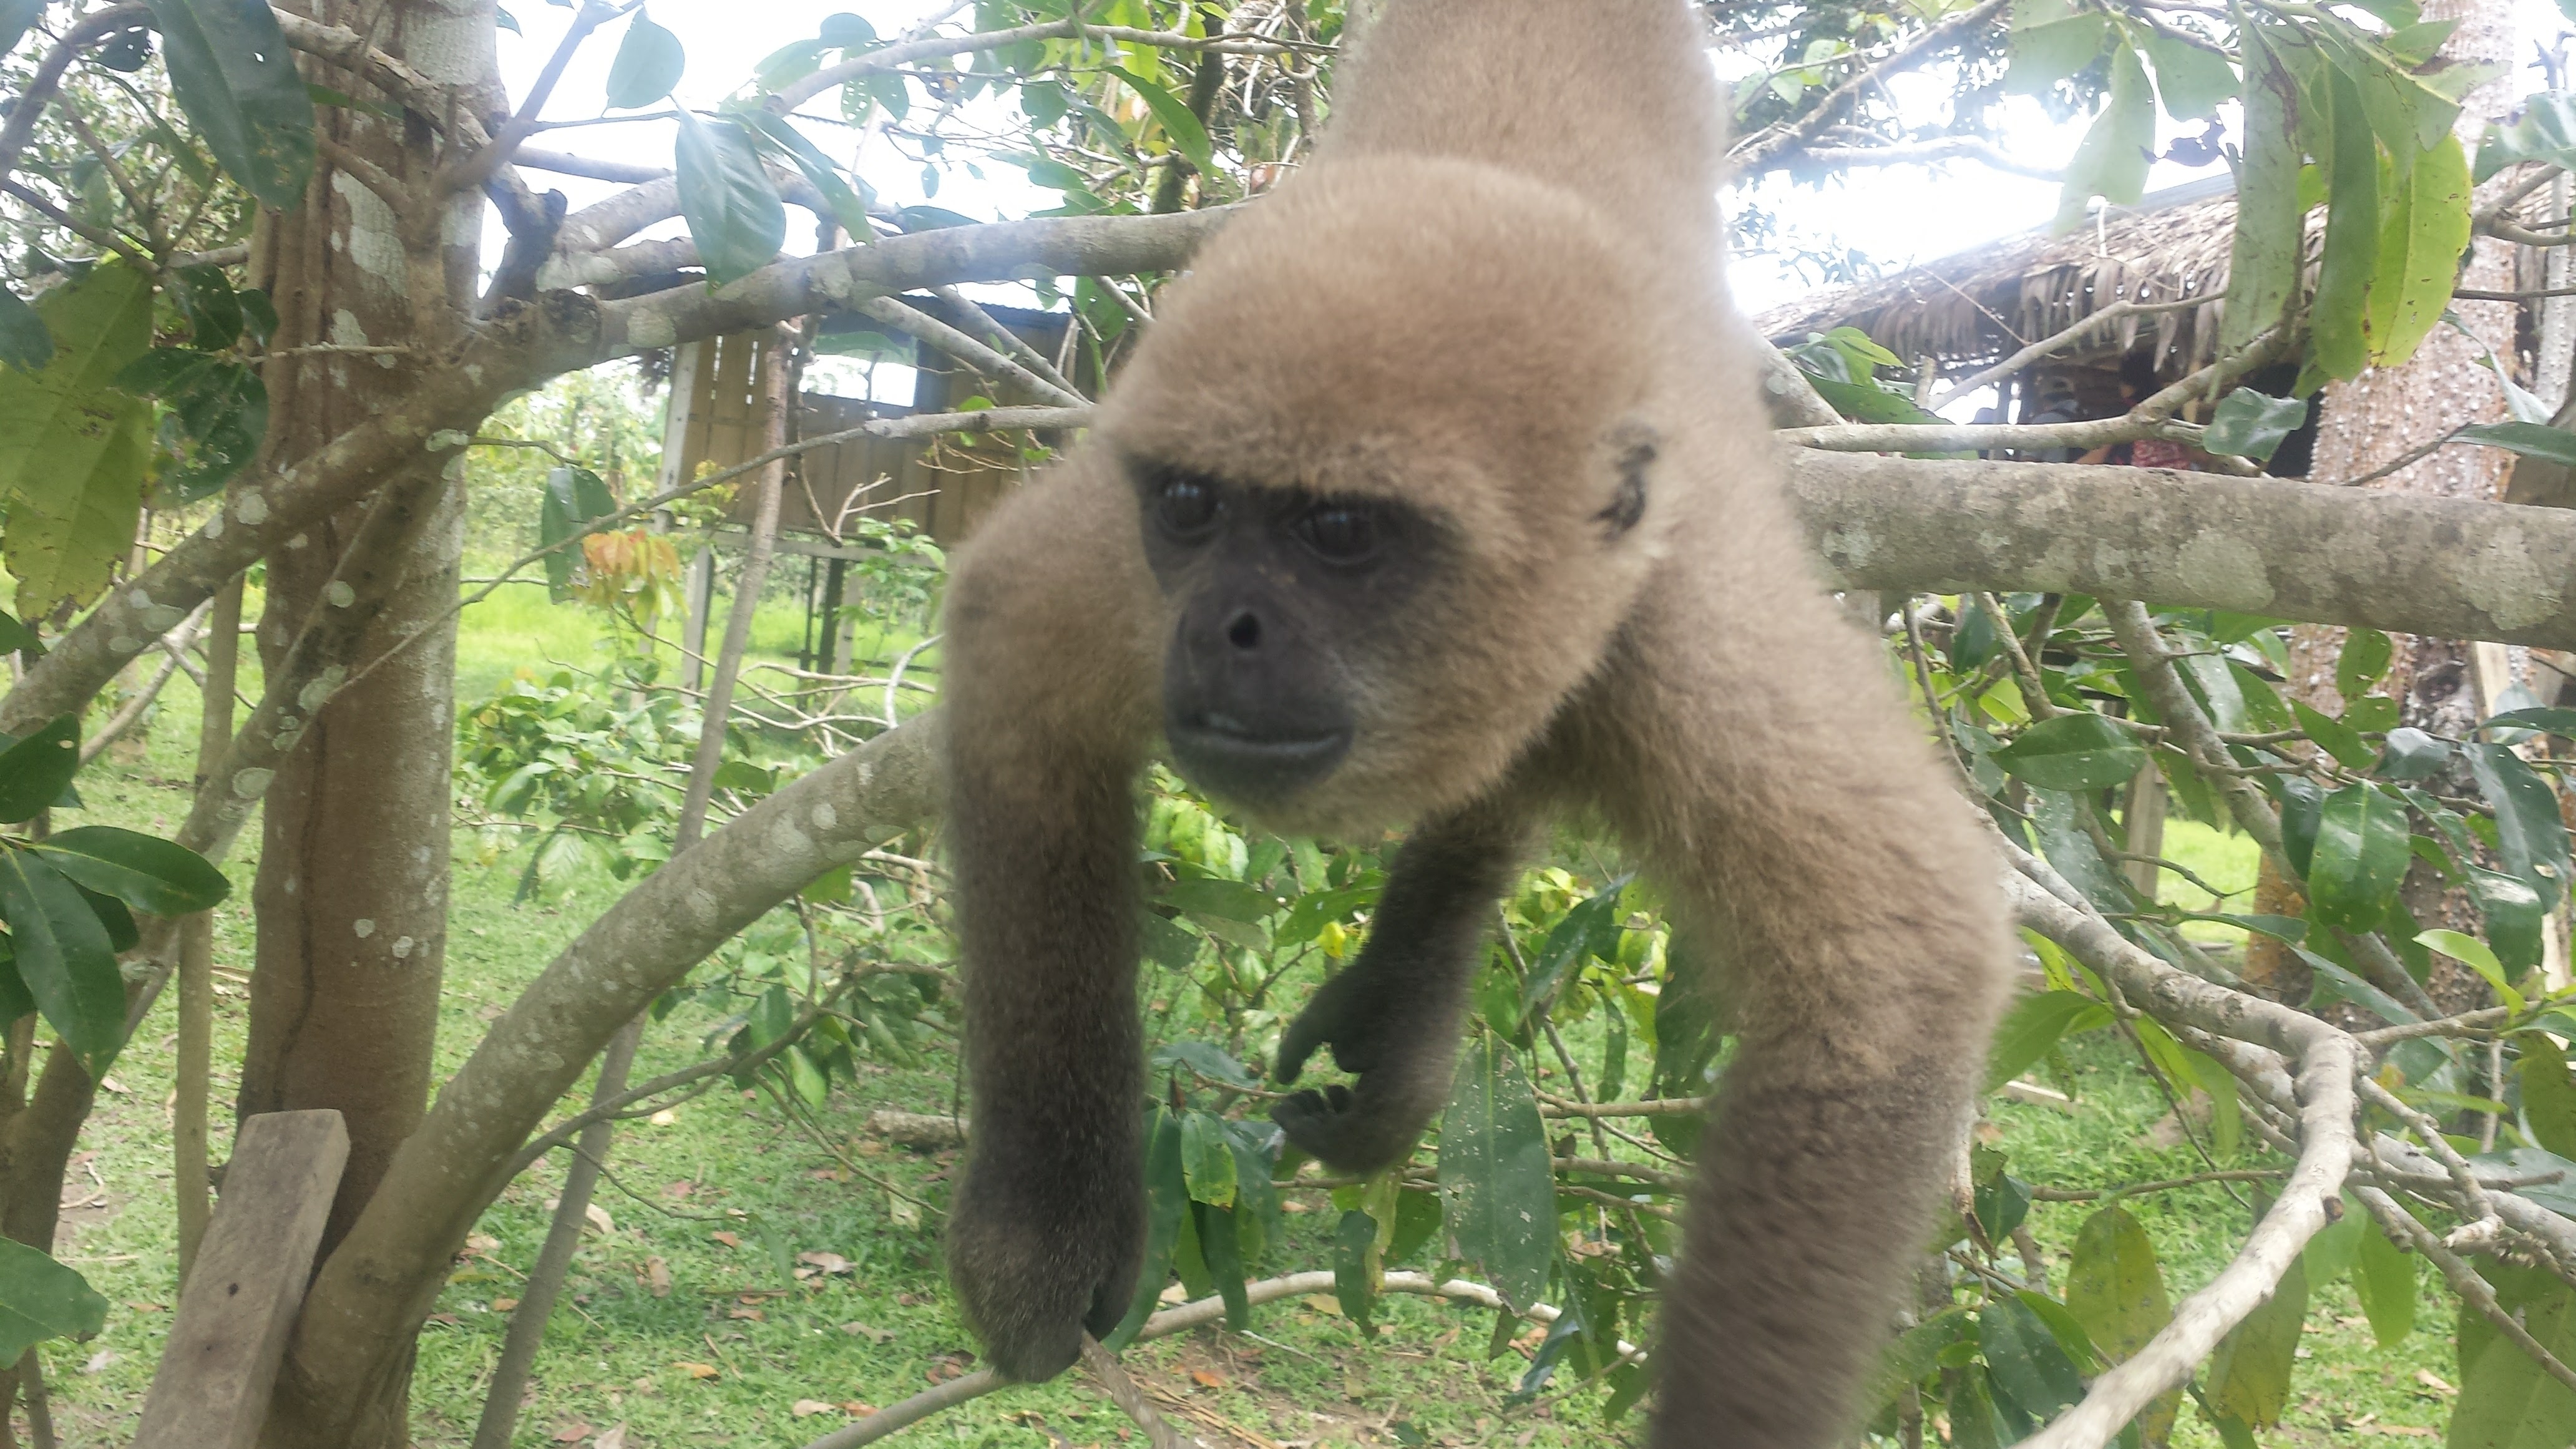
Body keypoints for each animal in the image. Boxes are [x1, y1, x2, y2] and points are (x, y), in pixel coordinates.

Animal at [934, 3, 2015, 1446]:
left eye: (1342, 532)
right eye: (1191, 508)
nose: (1222, 629)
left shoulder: (1679, 639)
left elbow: (1901, 960)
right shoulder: (1119, 572)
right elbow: (1009, 646)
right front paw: (1042, 1223)